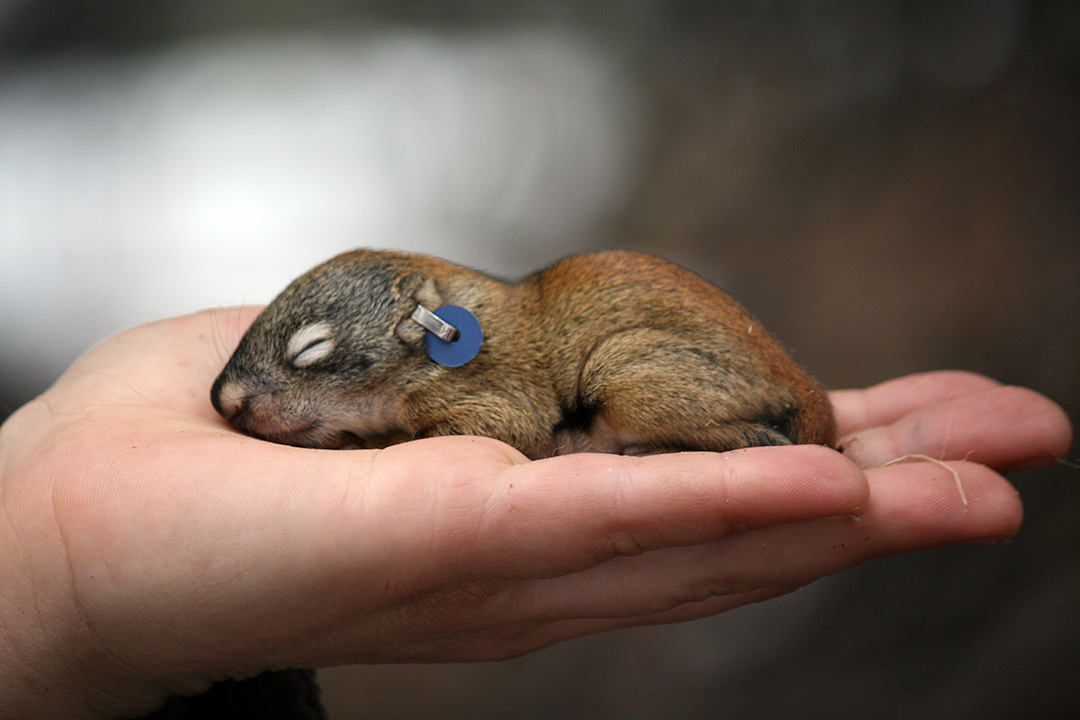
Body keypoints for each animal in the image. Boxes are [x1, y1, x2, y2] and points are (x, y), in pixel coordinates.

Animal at [210, 250, 833, 459]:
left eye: (311, 347)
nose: (223, 400)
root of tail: (802, 383)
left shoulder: (492, 397)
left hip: (628, 374)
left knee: (762, 440)